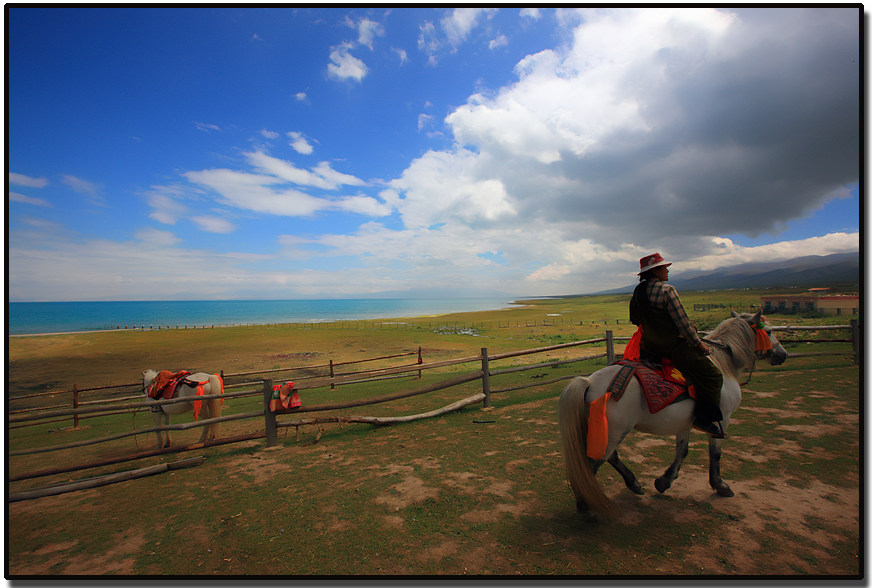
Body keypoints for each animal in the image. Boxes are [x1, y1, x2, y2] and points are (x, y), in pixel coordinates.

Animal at [560, 310, 792, 516]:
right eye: (769, 331)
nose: (783, 355)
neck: (723, 365)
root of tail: (590, 382)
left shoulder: (685, 422)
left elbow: (682, 451)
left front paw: (664, 481)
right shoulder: (722, 420)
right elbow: (715, 453)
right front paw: (720, 486)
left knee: (609, 458)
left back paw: (634, 484)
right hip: (614, 432)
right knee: (593, 464)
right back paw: (586, 504)